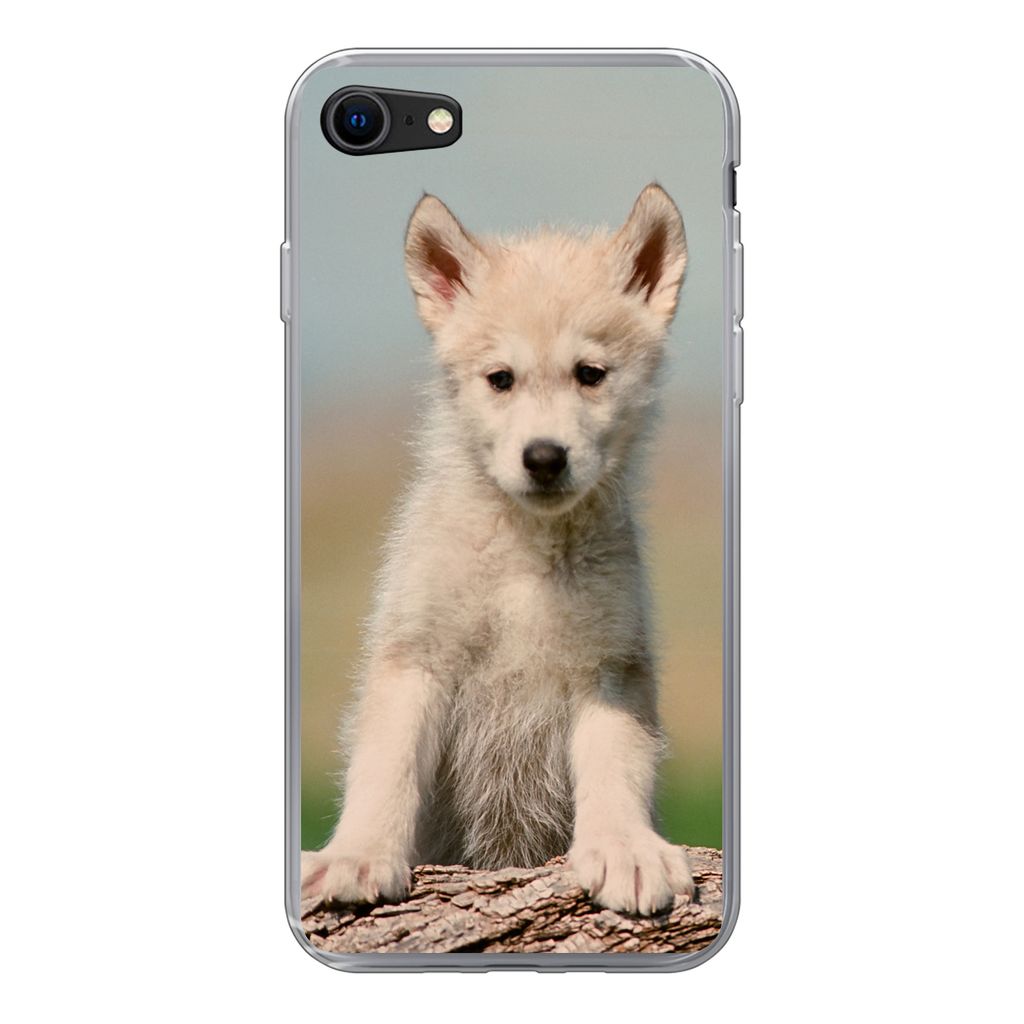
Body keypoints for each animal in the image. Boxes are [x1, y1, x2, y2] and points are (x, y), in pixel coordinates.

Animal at [301, 184, 695, 915]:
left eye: (590, 374)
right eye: (501, 379)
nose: (543, 458)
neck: (525, 556)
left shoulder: (611, 667)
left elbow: (617, 764)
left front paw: (625, 848)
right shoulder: (415, 655)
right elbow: (386, 766)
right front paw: (357, 855)